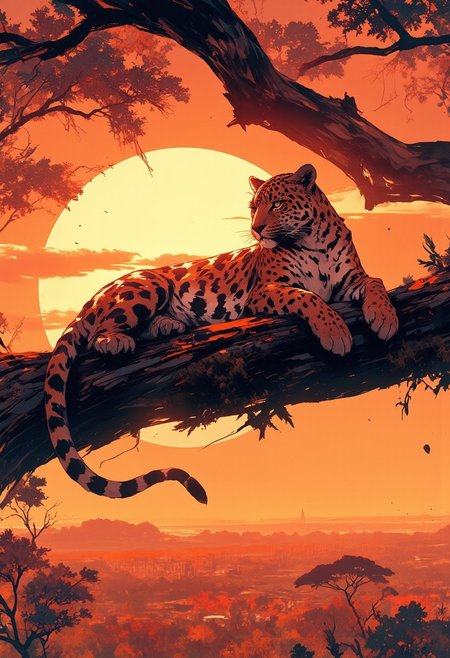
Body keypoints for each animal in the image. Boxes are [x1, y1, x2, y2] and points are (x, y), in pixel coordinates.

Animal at [44, 163, 399, 504]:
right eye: (253, 207)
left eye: (277, 204)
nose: (257, 229)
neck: (315, 243)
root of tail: (95, 295)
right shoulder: (264, 290)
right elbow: (305, 296)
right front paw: (335, 332)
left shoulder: (352, 280)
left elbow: (376, 282)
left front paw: (385, 318)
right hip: (148, 286)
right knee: (98, 333)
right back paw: (115, 340)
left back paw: (169, 324)